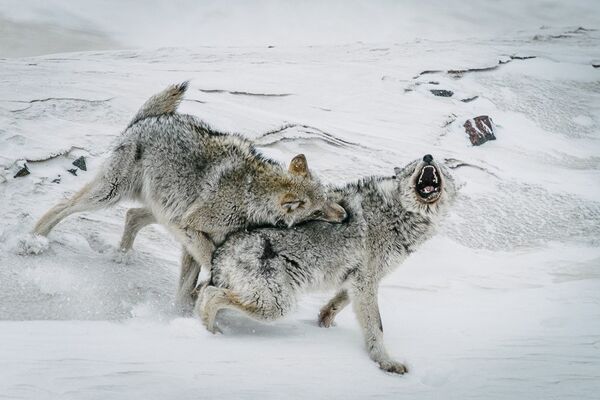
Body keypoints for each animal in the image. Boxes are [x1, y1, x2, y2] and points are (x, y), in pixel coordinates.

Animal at [34, 83, 346, 304]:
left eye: (329, 198)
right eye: (319, 209)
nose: (344, 215)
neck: (250, 195)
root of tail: (147, 119)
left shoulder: (187, 234)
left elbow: (189, 281)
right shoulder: (191, 229)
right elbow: (209, 261)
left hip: (165, 211)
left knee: (132, 215)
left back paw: (121, 257)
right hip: (111, 195)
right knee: (63, 206)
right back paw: (34, 241)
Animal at [197, 155, 454, 374]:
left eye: (442, 166)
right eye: (415, 164)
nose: (428, 157)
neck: (397, 213)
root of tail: (223, 250)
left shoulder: (359, 279)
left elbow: (337, 304)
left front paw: (324, 324)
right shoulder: (367, 280)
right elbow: (377, 326)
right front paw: (385, 362)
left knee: (204, 293)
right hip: (276, 306)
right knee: (211, 294)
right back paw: (211, 335)